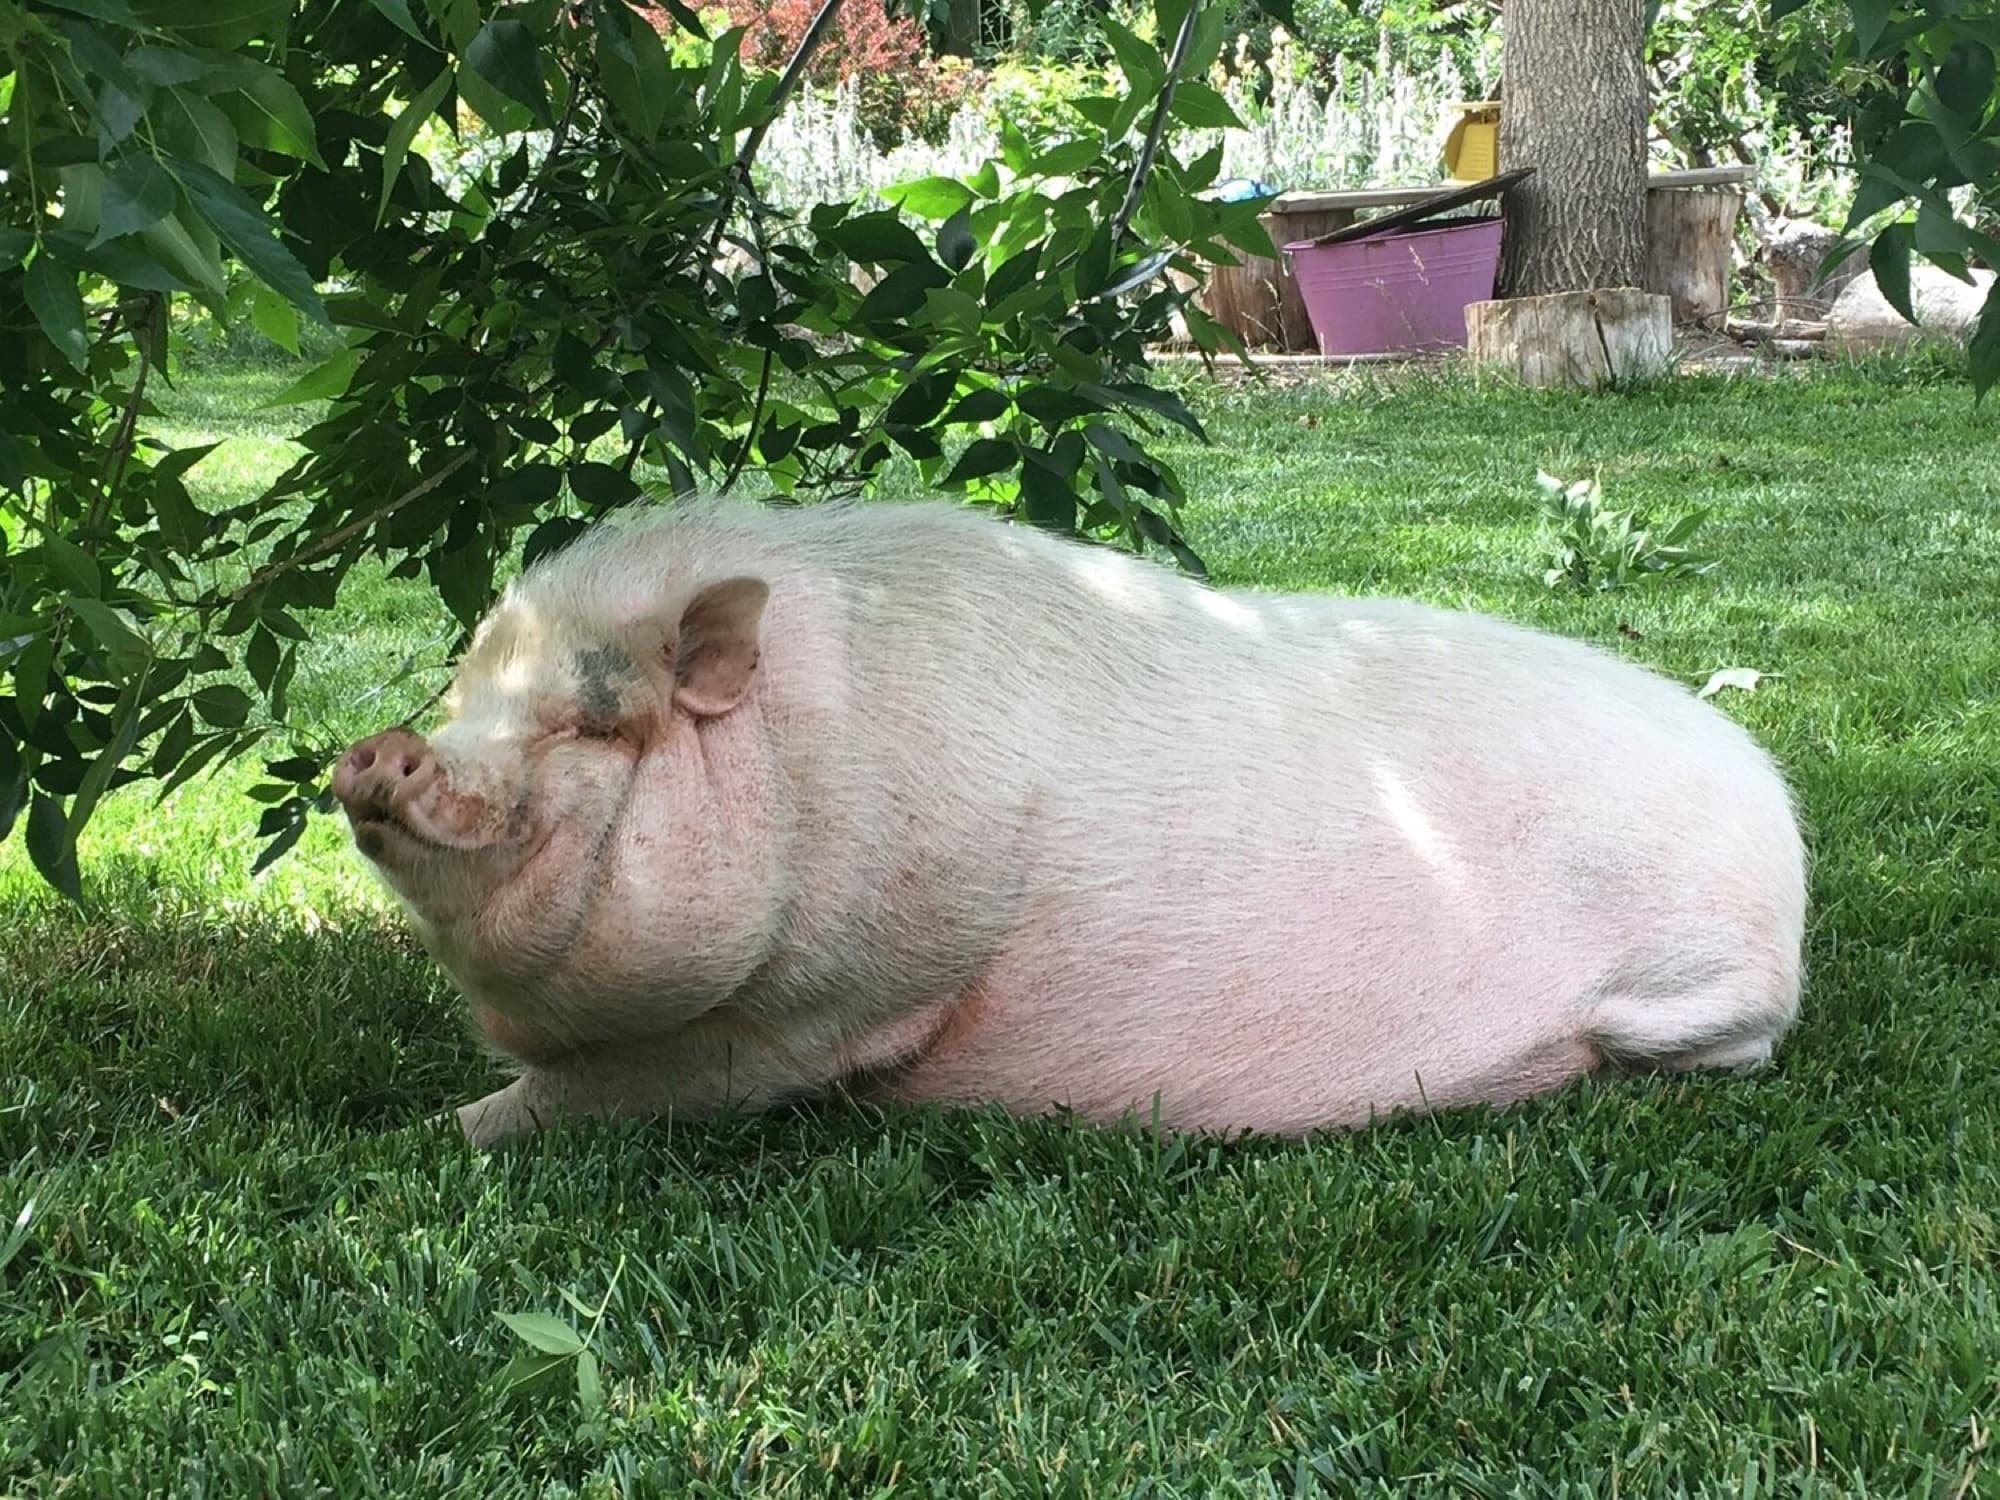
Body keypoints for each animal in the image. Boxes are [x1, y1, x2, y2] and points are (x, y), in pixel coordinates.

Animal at [331, 497, 1808, 1148]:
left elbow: (564, 1102)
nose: (379, 753)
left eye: (592, 727)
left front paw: (414, 1137)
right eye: (466, 696)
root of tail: (1781, 824)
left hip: (1695, 991)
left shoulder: (832, 1003)